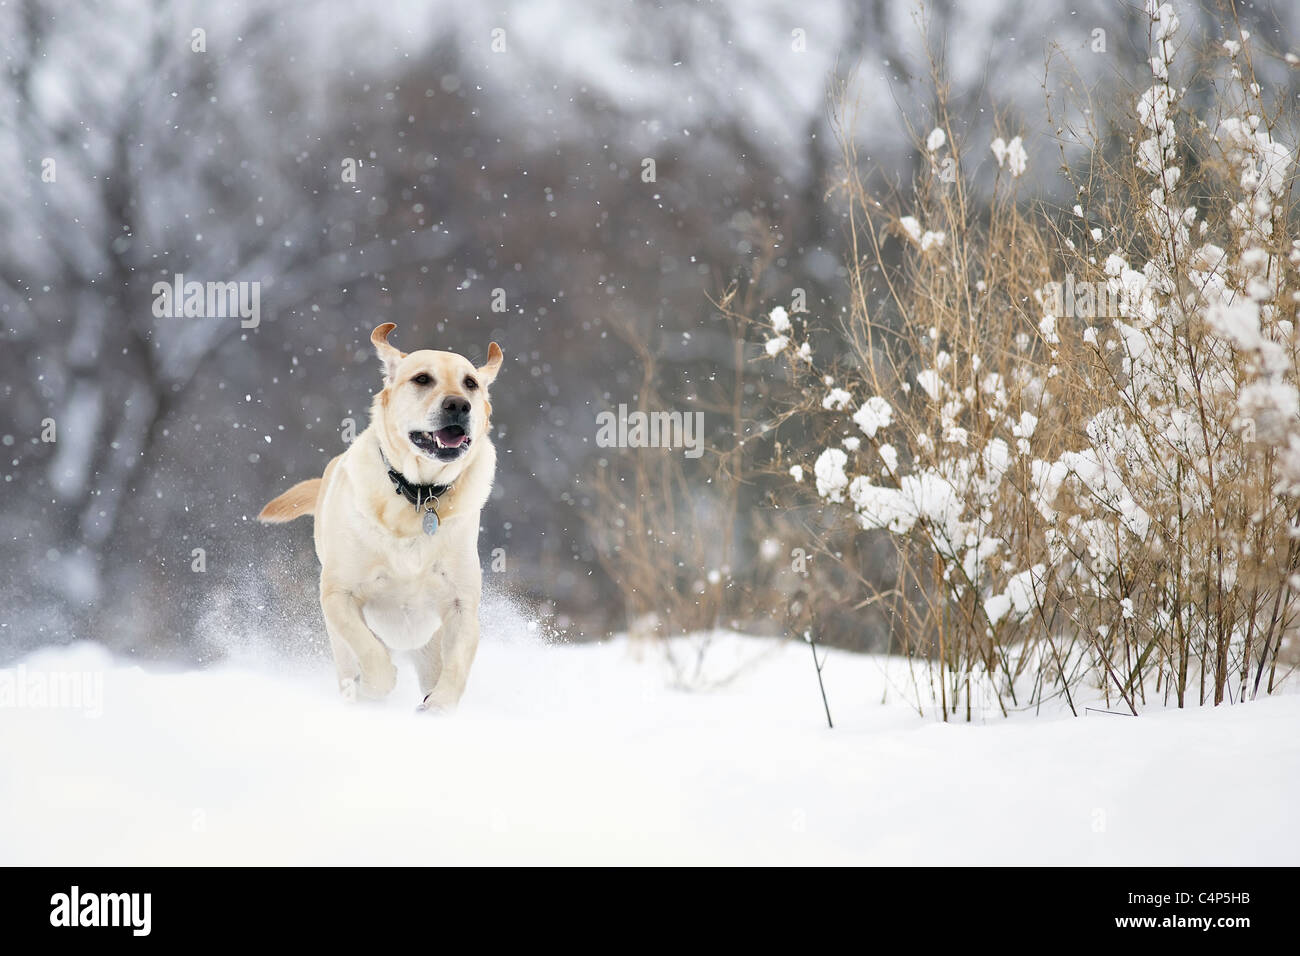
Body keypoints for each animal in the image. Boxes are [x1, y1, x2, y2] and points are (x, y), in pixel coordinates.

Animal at [258, 325, 501, 712]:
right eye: (422, 378)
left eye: (470, 383)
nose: (458, 404)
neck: (419, 494)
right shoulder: (338, 594)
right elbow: (368, 649)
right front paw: (374, 686)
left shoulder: (462, 604)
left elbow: (459, 663)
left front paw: (438, 706)